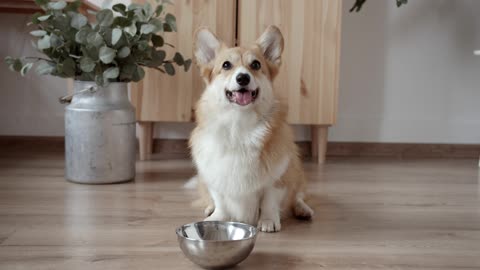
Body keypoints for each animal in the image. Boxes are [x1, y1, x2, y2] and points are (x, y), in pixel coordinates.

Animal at [189, 25, 314, 232]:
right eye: (226, 65)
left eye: (255, 65)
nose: (242, 78)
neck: (238, 124)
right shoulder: (214, 176)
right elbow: (220, 200)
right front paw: (217, 217)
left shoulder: (278, 177)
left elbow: (269, 200)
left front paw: (269, 221)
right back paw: (209, 208)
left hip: (296, 171)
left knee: (298, 195)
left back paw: (303, 210)